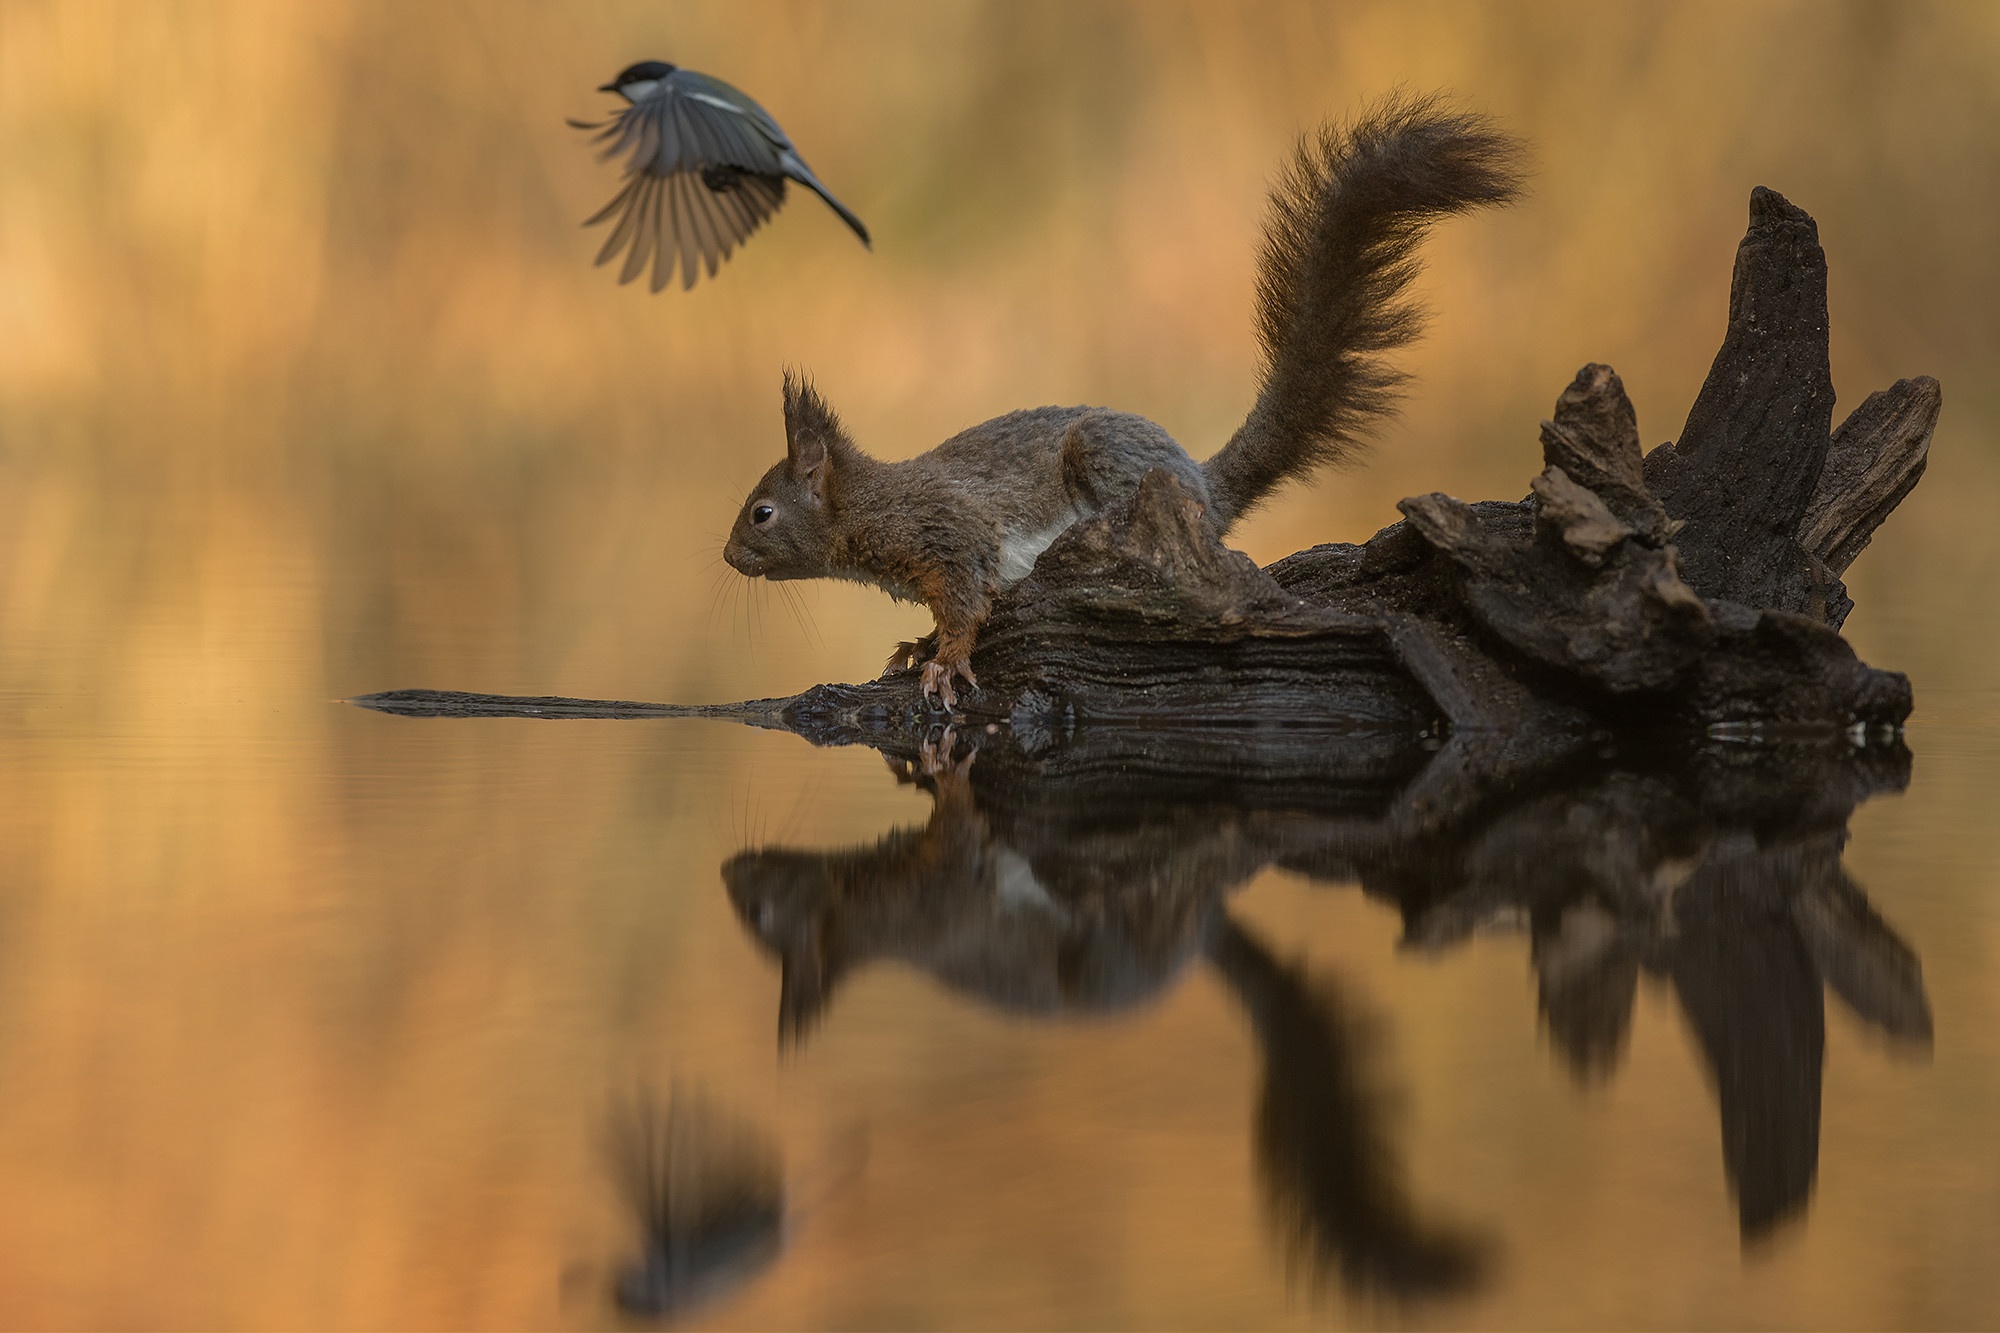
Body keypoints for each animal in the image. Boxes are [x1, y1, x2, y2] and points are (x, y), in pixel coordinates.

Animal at [728, 93, 1520, 704]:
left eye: (762, 512)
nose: (731, 557)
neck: (870, 508)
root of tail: (1201, 485)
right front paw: (920, 645)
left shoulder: (948, 535)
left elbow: (967, 599)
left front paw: (945, 660)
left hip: (1108, 462)